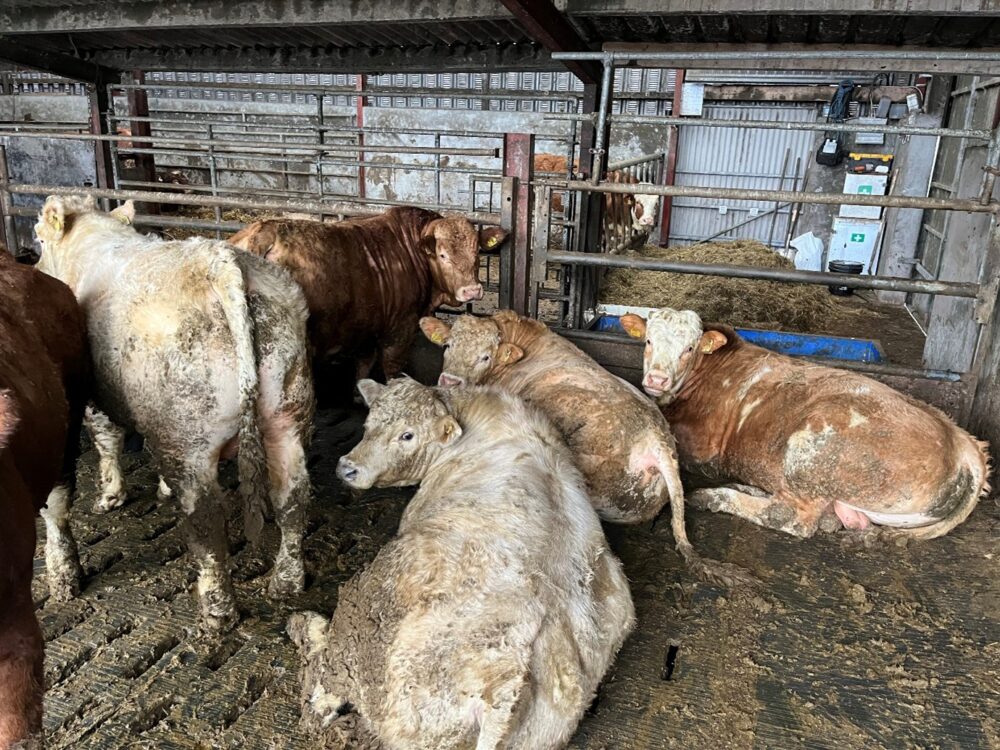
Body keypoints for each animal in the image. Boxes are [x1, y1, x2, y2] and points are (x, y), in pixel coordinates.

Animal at [34, 195, 315, 633]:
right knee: (292, 497)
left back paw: (217, 613)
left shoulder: (94, 393)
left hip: (190, 438)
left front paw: (110, 496)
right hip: (286, 415)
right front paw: (158, 489)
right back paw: (286, 583)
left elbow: (106, 437)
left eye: (39, 239)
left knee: (207, 521)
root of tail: (223, 264)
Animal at [228, 207, 507, 384]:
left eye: (477, 252)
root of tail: (263, 232)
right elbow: (392, 367)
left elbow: (364, 364)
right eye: (442, 255)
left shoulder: (366, 325)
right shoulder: (401, 328)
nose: (471, 290)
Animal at [289, 378, 634, 749]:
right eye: (368, 426)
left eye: (408, 435)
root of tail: (505, 691)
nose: (347, 468)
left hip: (366, 619)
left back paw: (305, 628)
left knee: (330, 675)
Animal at [621, 307, 991, 539]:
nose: (656, 379)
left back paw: (713, 496)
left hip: (810, 451)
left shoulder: (702, 446)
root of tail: (962, 442)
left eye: (689, 348)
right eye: (648, 341)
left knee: (794, 517)